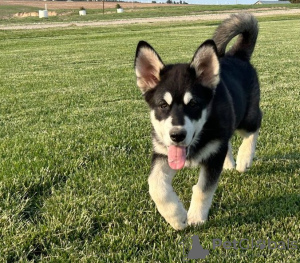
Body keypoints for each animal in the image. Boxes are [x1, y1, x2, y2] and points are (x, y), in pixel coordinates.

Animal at [135, 13, 262, 230]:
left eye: (193, 103)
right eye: (162, 105)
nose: (177, 135)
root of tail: (237, 55)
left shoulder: (212, 157)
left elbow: (203, 189)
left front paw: (195, 217)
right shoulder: (163, 152)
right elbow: (155, 185)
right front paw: (176, 217)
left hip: (247, 118)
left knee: (254, 126)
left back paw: (244, 158)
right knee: (227, 141)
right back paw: (229, 163)